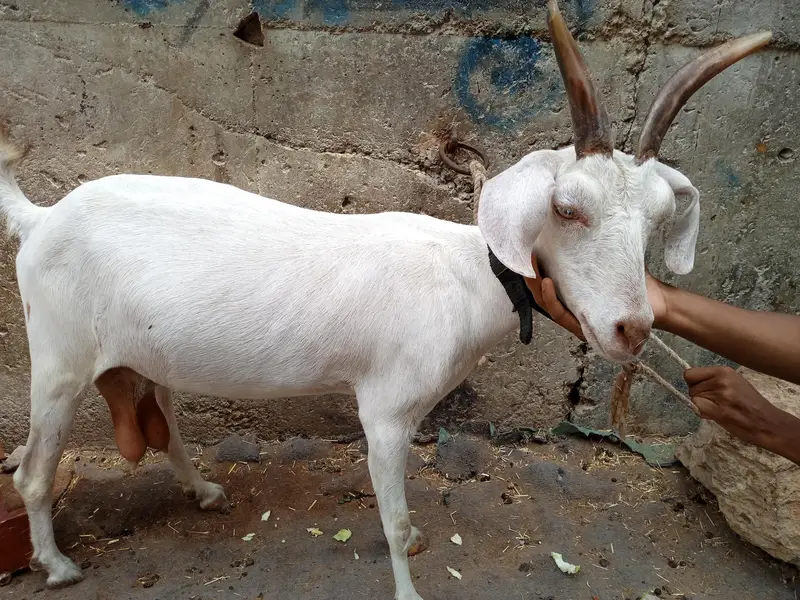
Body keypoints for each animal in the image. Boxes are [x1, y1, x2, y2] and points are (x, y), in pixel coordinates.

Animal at [0, 2, 769, 598]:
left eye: (658, 219)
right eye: (567, 208)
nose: (633, 328)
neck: (469, 275)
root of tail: (41, 218)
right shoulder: (388, 410)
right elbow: (395, 524)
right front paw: (408, 583)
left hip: (141, 348)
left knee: (160, 415)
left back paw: (205, 492)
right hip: (60, 360)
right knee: (35, 471)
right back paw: (58, 564)